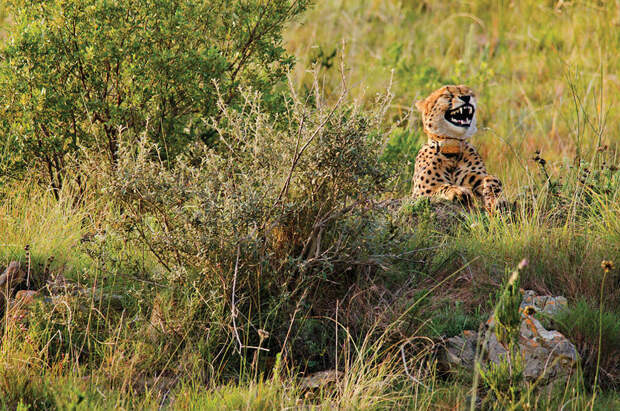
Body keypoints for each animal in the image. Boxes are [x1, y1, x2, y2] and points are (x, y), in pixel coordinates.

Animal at [410, 84, 506, 212]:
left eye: (468, 92)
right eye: (447, 94)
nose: (466, 97)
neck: (452, 146)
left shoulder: (475, 176)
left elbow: (493, 178)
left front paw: (496, 198)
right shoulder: (421, 192)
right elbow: (441, 187)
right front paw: (457, 191)